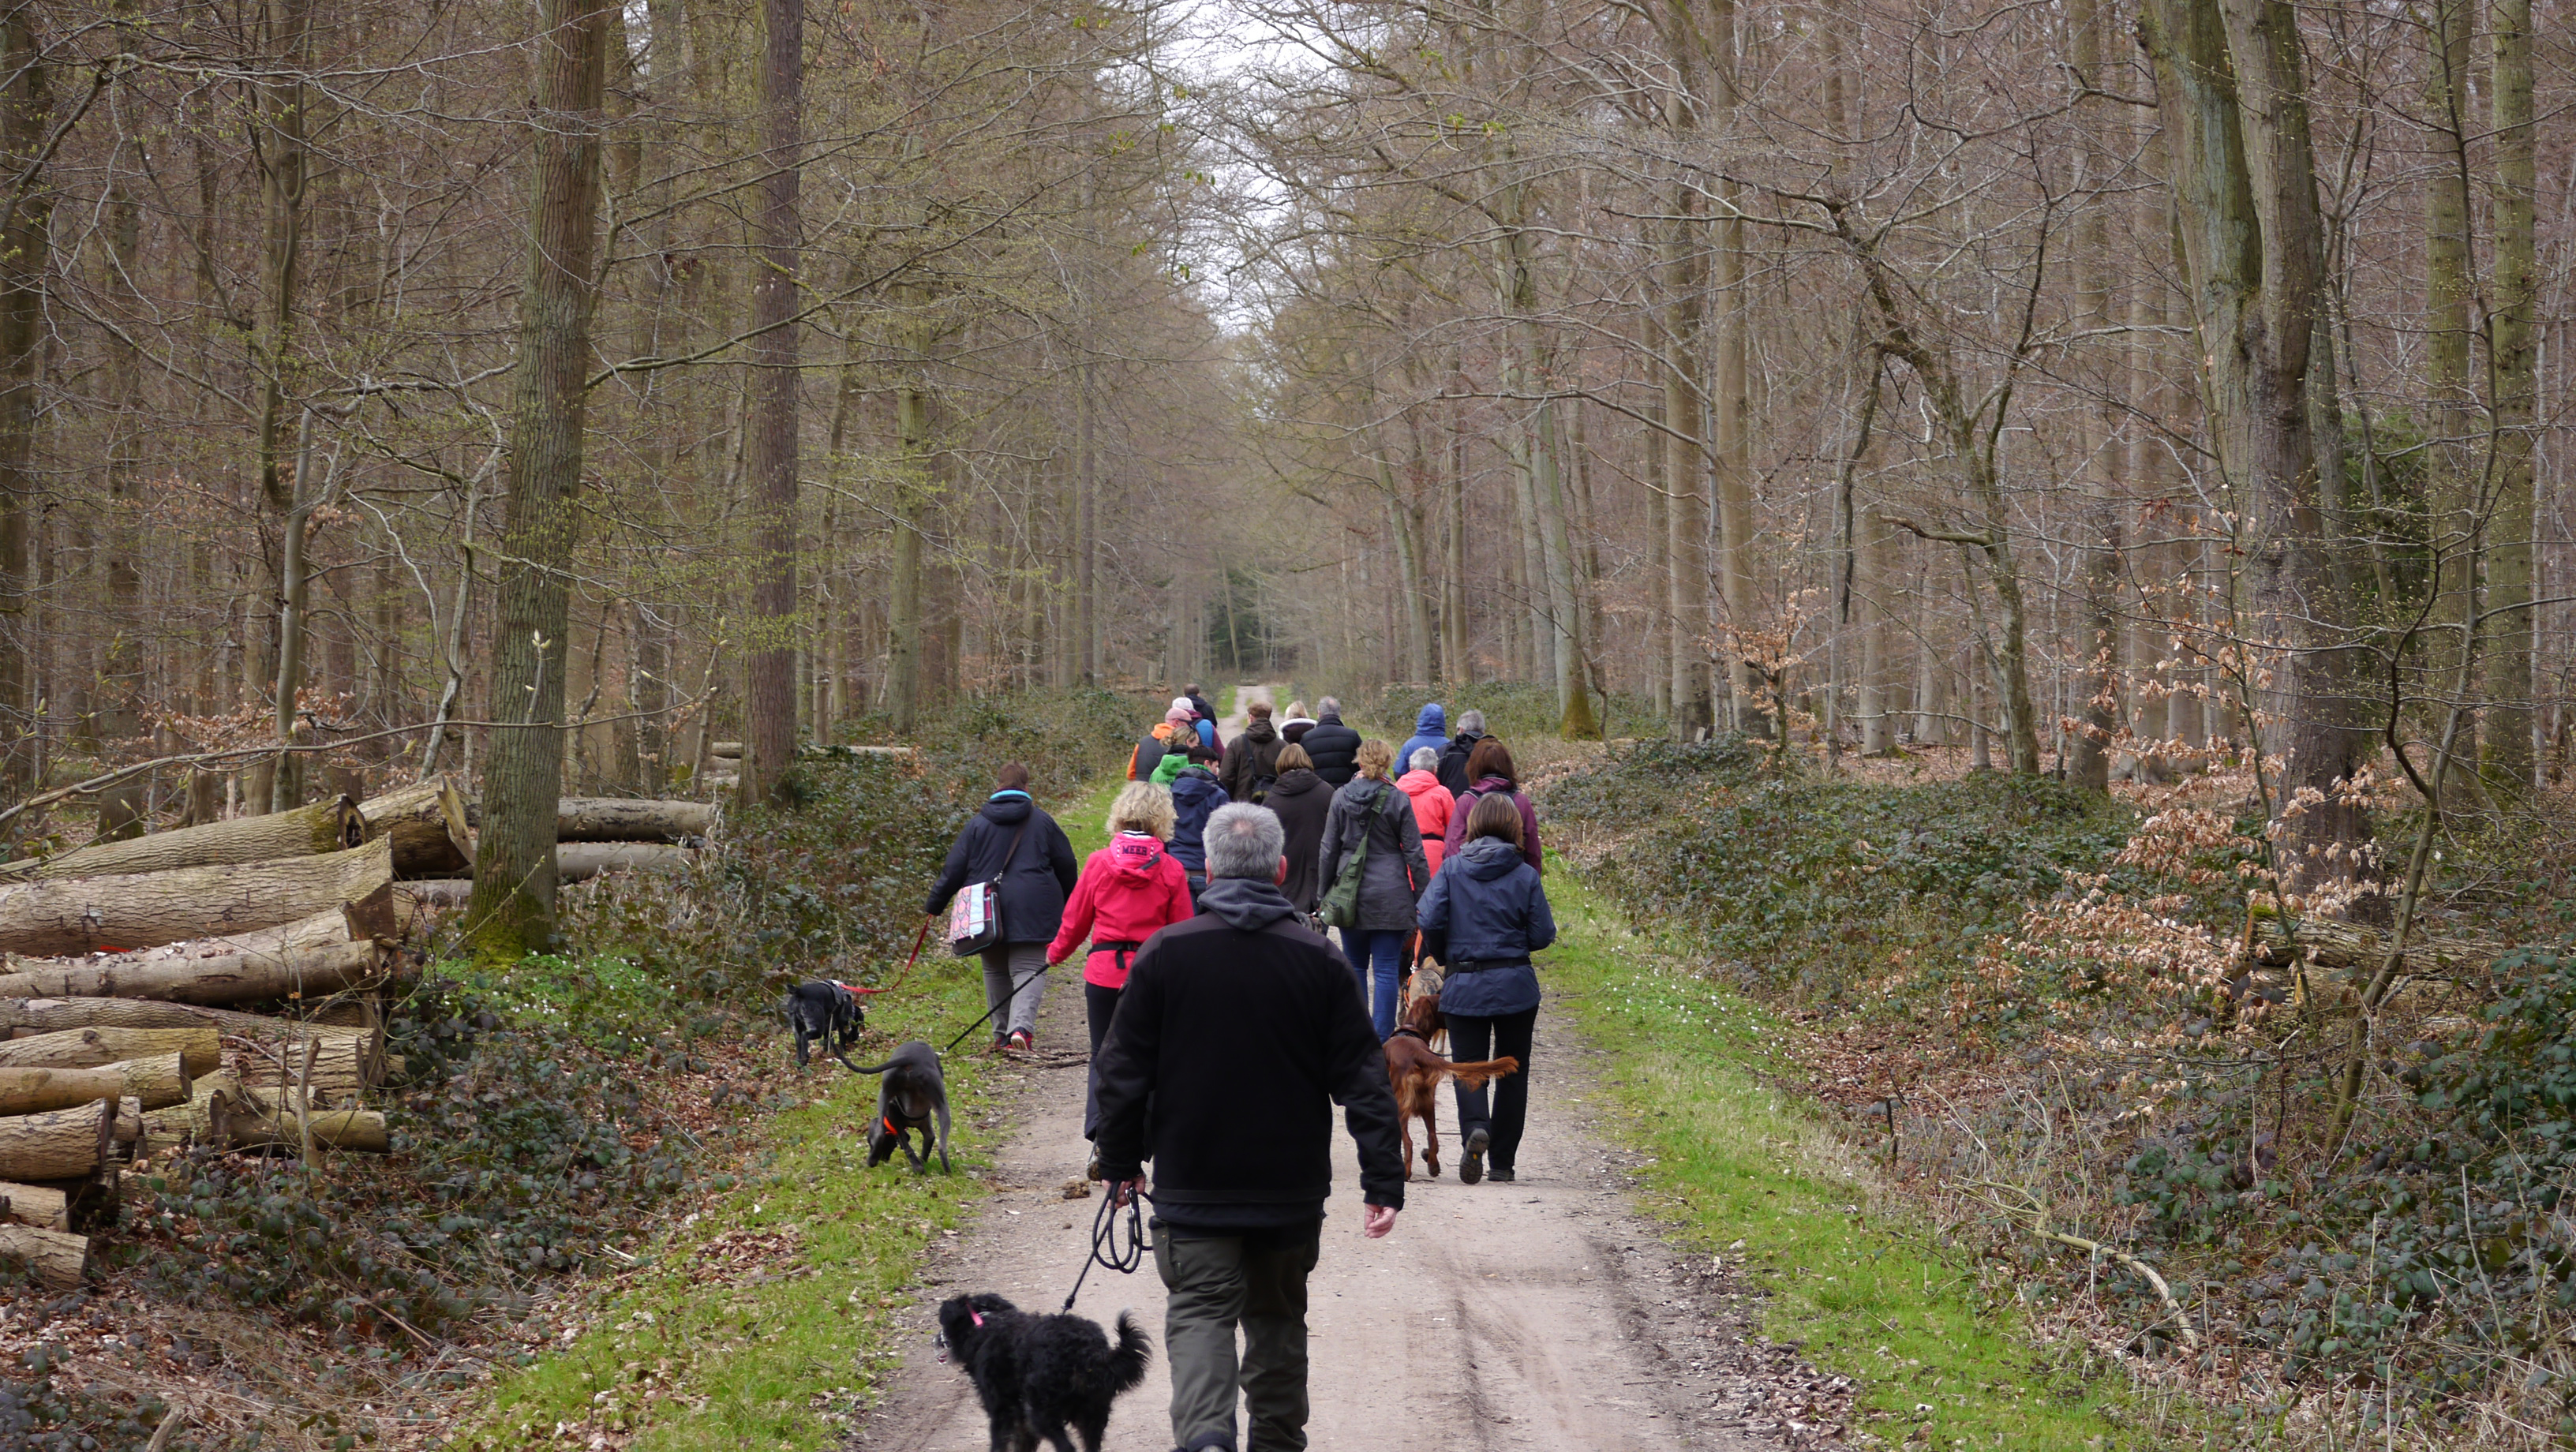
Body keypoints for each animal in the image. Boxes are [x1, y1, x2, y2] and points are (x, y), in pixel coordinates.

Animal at [938, 1292, 1148, 1452]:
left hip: (1042, 1412)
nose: (937, 1340)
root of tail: (1087, 1352)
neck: (985, 1323)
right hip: (1093, 1411)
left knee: (1067, 1447)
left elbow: (999, 1444)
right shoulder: (1020, 1418)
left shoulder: (1000, 1410)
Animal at [1380, 994, 1515, 1184]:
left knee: (1409, 1142)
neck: (1411, 1030)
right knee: (1433, 1138)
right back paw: (1433, 1167)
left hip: (1401, 1107)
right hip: (1428, 1105)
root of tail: (1417, 1053)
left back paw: (1406, 1173)